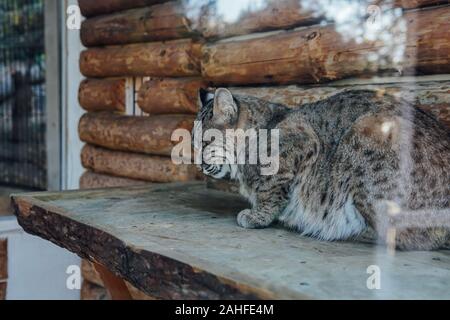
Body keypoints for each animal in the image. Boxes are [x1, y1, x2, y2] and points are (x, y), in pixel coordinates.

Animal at [196, 87, 450, 250]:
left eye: (205, 143)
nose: (198, 164)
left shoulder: (303, 141)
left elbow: (271, 188)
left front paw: (258, 216)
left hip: (366, 129)